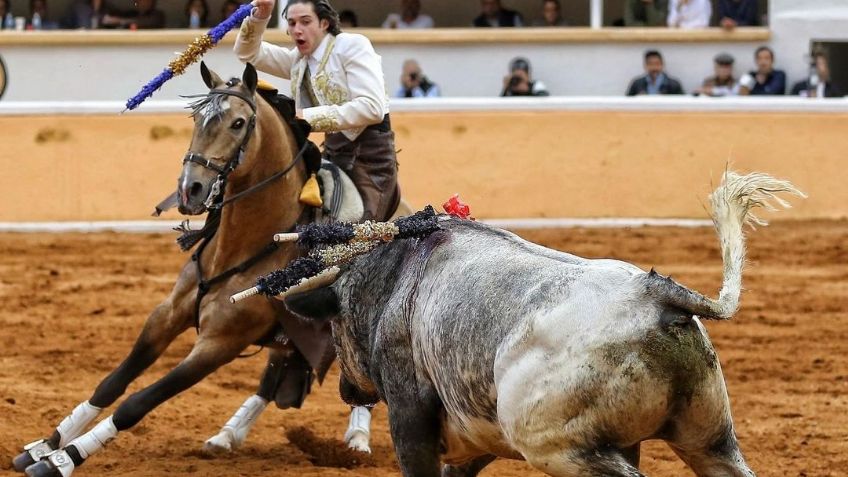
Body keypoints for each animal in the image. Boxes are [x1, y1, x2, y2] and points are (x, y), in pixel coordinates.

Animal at [11, 62, 376, 476]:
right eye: (197, 119)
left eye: (237, 123)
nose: (191, 189)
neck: (241, 248)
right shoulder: (167, 313)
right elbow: (113, 382)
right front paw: (46, 444)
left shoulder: (219, 344)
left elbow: (136, 403)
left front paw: (64, 459)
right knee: (272, 378)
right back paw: (226, 436)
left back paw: (357, 441)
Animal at [280, 172, 800, 476]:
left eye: (335, 327)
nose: (347, 390)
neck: (398, 273)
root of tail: (655, 295)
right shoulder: (479, 433)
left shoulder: (411, 416)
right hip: (711, 439)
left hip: (557, 446)